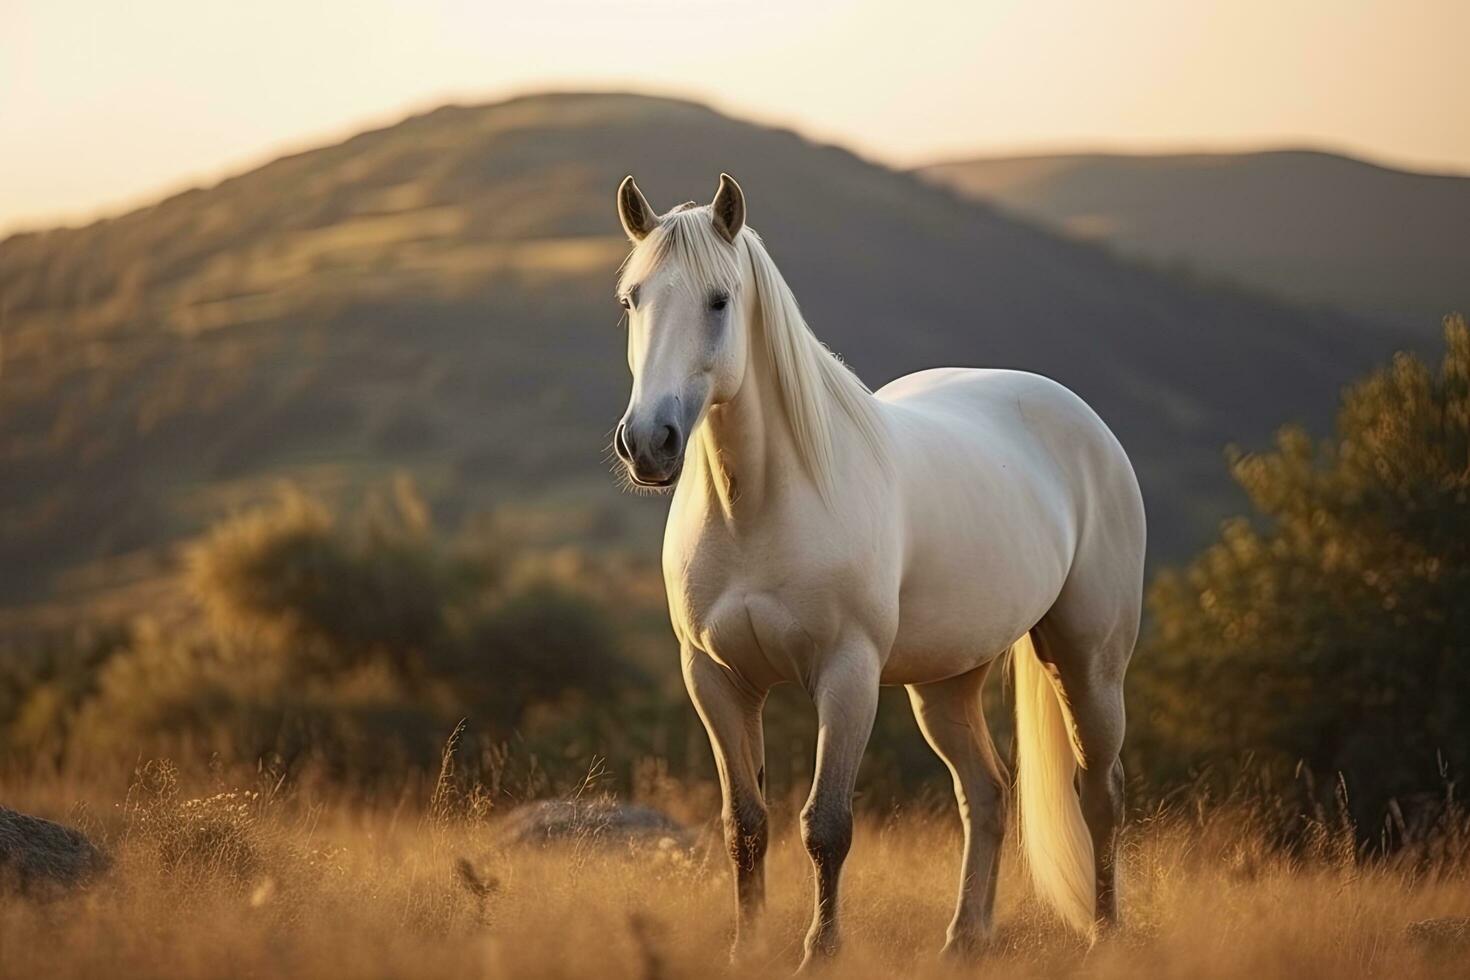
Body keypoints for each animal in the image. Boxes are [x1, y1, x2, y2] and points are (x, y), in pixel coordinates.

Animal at [608, 170, 1146, 963]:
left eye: (719, 299)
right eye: (632, 299)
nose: (649, 443)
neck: (759, 506)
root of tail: (1087, 424)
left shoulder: (847, 675)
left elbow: (826, 826)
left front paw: (818, 952)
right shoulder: (716, 679)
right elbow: (746, 827)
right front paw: (747, 950)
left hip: (1087, 664)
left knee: (1100, 795)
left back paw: (1105, 936)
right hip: (946, 683)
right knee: (987, 793)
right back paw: (963, 940)